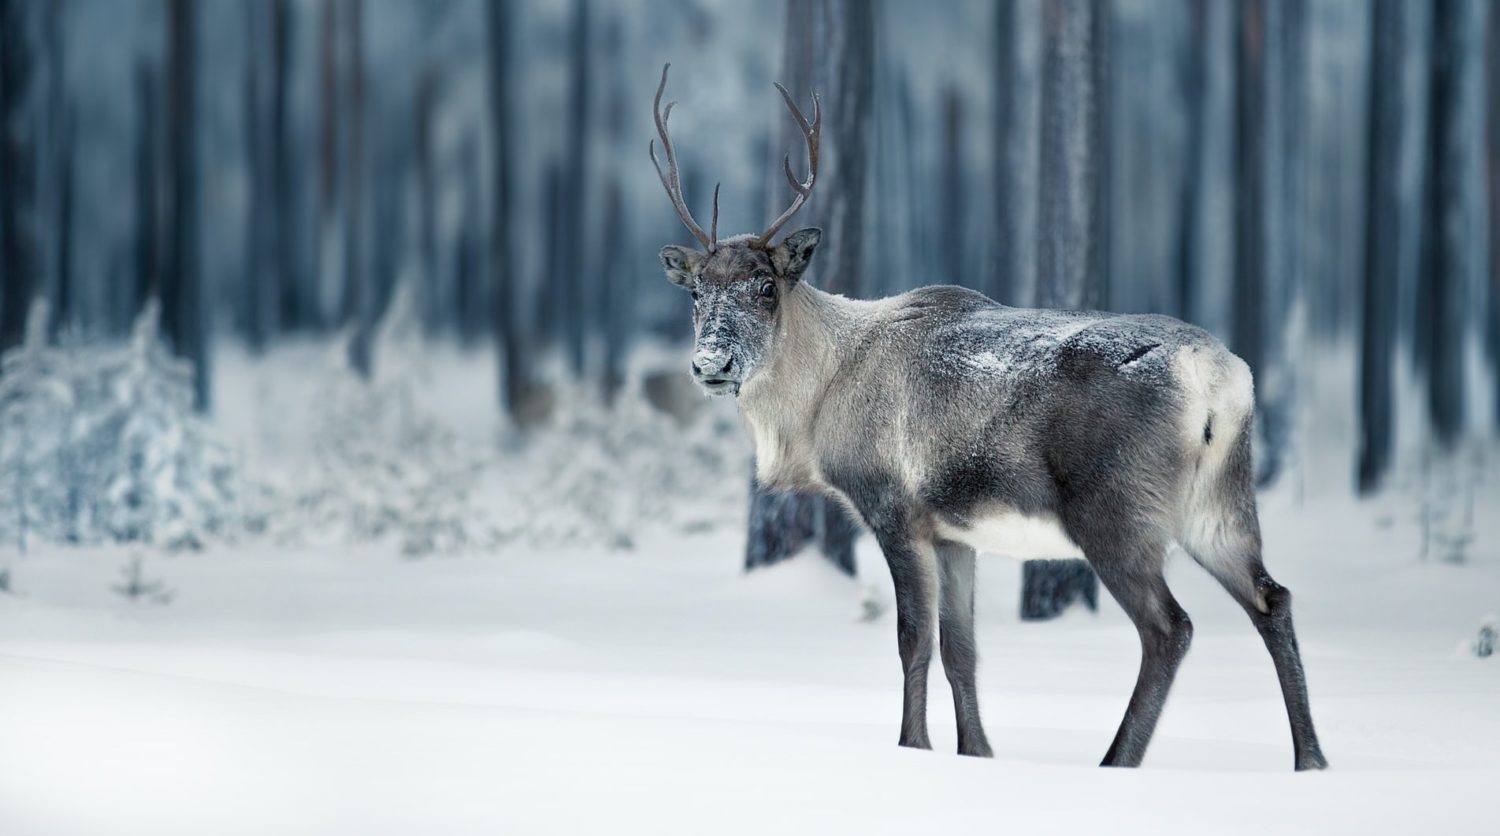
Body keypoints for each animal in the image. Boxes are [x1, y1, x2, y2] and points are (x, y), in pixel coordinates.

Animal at [650, 64, 1327, 771]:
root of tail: (1219, 379)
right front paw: (977, 753)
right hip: (1219, 502)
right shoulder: (955, 532)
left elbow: (913, 641)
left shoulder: (894, 509)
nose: (710, 362)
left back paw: (1117, 760)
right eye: (696, 292)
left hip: (1117, 511)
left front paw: (913, 745)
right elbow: (962, 649)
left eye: (766, 286)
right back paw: (1310, 758)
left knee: (1171, 628)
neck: (819, 402)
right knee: (1272, 597)